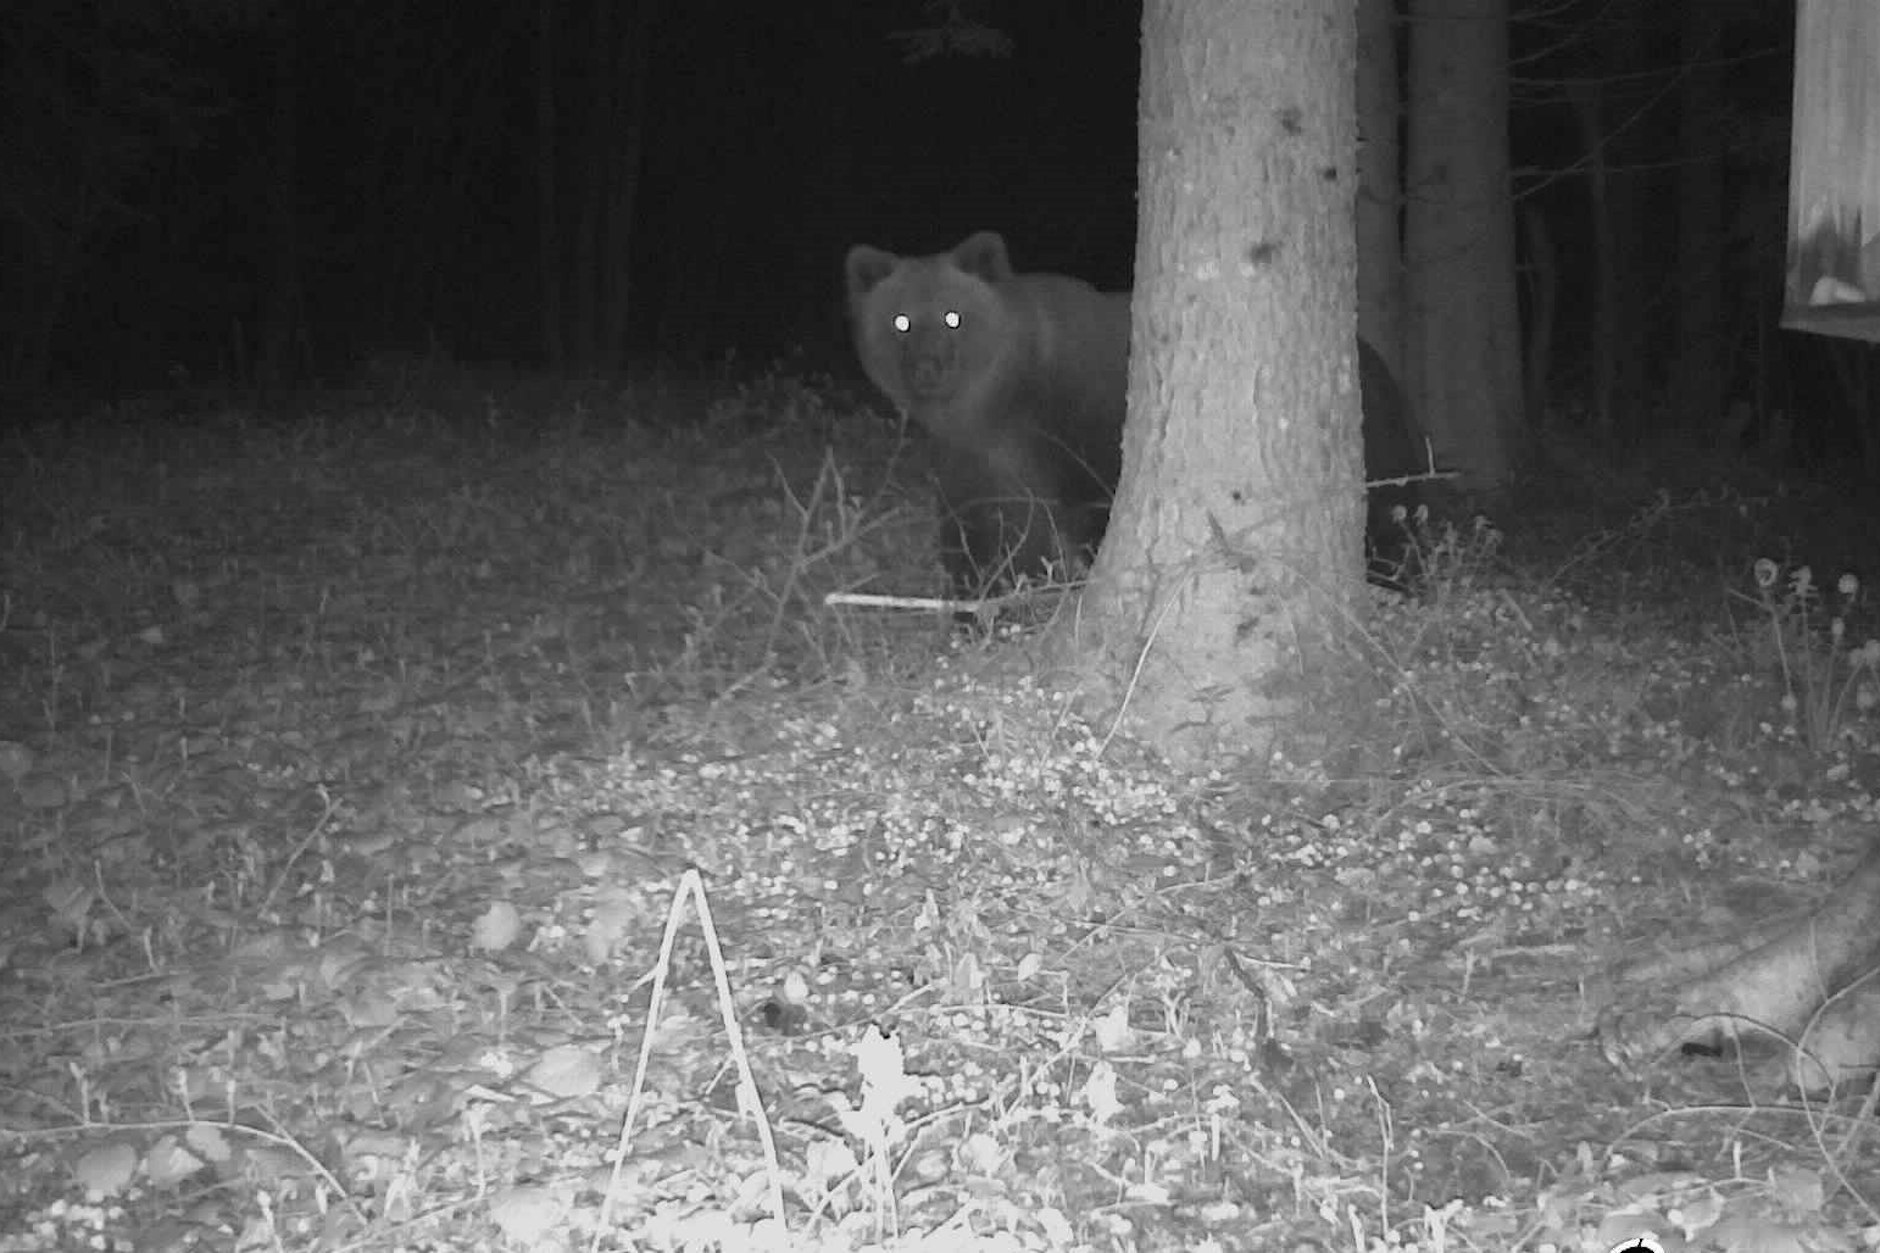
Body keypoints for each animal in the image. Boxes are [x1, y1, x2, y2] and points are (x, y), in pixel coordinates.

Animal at [843, 230, 1422, 595]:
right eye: (899, 320)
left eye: (953, 316)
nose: (928, 369)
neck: (1005, 400)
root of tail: (1375, 360)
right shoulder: (974, 456)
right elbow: (982, 530)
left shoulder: (1082, 421)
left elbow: (1090, 506)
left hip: (1377, 441)